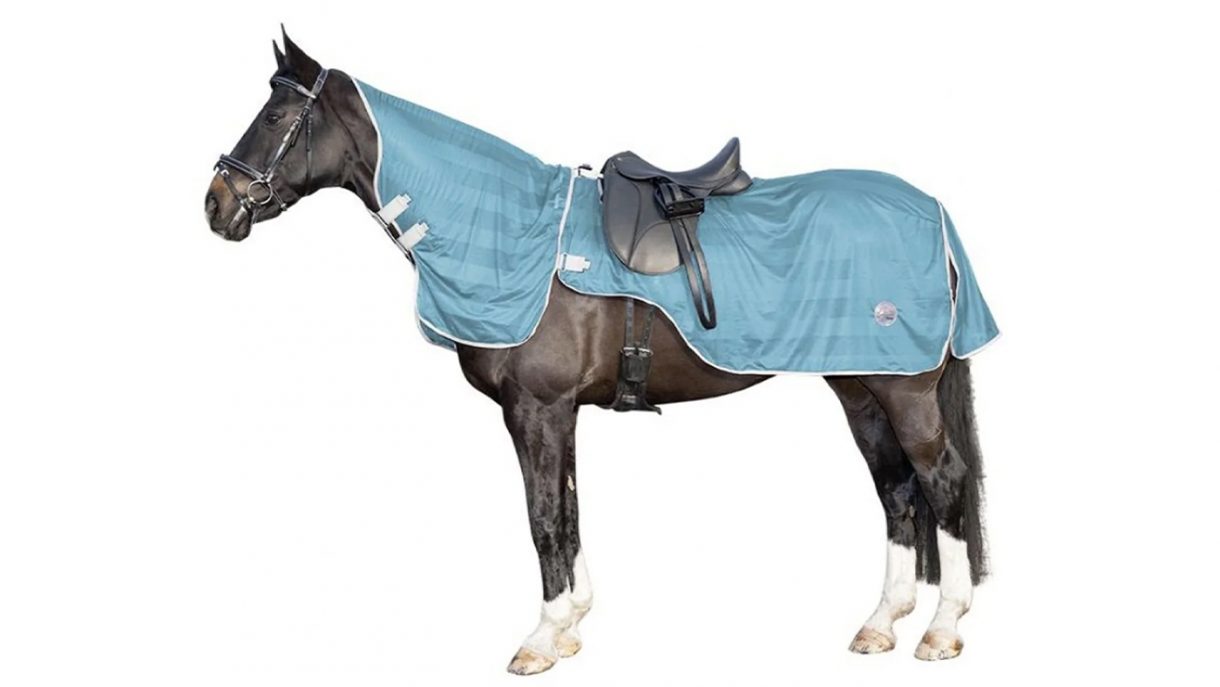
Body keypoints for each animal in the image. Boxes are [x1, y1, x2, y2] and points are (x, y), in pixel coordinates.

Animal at [204, 31, 992, 675]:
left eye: (273, 117)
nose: (217, 203)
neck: (506, 229)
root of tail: (934, 212)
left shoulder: (537, 408)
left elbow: (544, 515)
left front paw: (539, 638)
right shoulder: (559, 412)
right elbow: (570, 506)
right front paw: (572, 624)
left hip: (905, 392)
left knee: (943, 480)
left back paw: (942, 629)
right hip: (861, 386)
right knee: (897, 489)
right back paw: (880, 623)